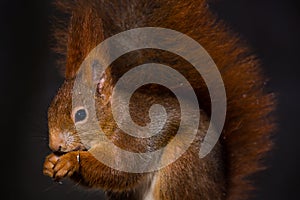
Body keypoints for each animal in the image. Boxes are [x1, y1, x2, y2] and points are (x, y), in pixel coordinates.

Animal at [42, 0, 276, 199]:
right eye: (49, 110)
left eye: (81, 114)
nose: (55, 145)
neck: (115, 121)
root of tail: (220, 193)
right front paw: (50, 162)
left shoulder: (136, 137)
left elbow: (119, 170)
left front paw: (70, 161)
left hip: (180, 167)